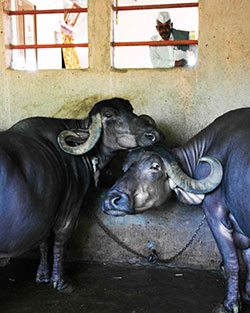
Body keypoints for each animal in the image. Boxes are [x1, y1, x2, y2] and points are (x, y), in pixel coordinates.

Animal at [0, 97, 162, 290]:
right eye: (108, 115)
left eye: (130, 110)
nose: (153, 134)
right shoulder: (70, 205)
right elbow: (60, 240)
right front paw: (60, 280)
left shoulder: (47, 212)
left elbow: (43, 243)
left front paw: (42, 275)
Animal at [102, 108, 250, 312]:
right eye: (124, 168)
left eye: (155, 167)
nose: (111, 200)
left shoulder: (216, 217)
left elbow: (230, 262)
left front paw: (230, 304)